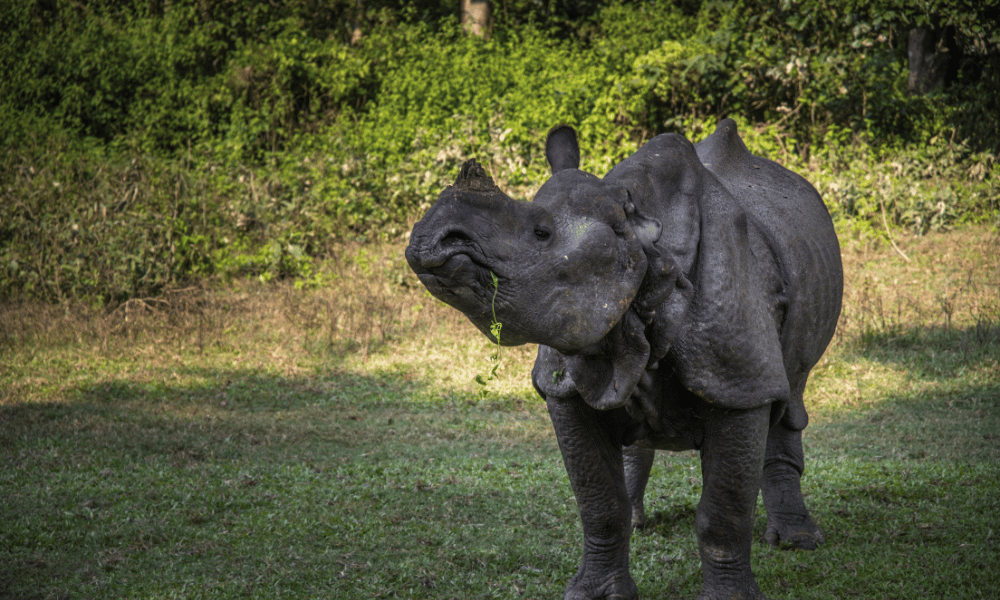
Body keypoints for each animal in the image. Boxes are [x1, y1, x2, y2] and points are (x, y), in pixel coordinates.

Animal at [402, 118, 840, 600]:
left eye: (541, 233)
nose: (431, 239)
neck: (645, 248)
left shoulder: (738, 378)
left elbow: (723, 511)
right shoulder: (565, 382)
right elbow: (598, 503)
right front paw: (594, 593)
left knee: (789, 391)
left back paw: (799, 543)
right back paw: (640, 521)